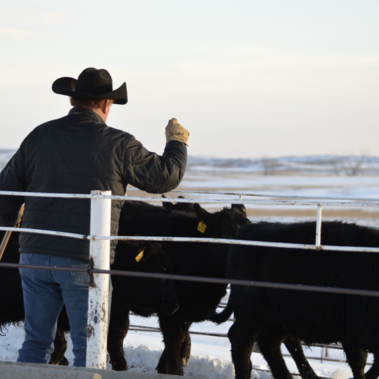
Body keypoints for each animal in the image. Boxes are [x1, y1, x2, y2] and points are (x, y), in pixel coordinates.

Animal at [113, 200, 252, 376]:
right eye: (227, 233)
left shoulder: (185, 311)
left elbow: (179, 337)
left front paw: (163, 369)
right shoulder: (170, 307)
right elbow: (174, 339)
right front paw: (174, 371)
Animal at [209, 223, 379, 379]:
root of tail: (250, 228)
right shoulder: (354, 333)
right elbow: (360, 364)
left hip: (281, 318)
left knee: (268, 342)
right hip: (252, 311)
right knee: (241, 342)